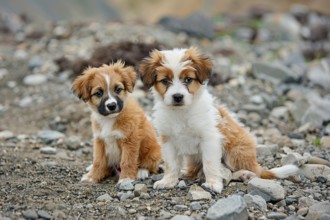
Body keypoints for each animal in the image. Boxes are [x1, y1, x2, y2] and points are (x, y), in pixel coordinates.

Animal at [139, 47, 300, 192]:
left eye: (188, 79)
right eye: (165, 81)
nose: (178, 97)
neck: (181, 112)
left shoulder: (209, 139)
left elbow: (210, 164)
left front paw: (212, 184)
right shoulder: (168, 140)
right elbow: (171, 164)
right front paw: (168, 181)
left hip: (235, 152)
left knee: (251, 172)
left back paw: (245, 174)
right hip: (194, 157)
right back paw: (187, 173)